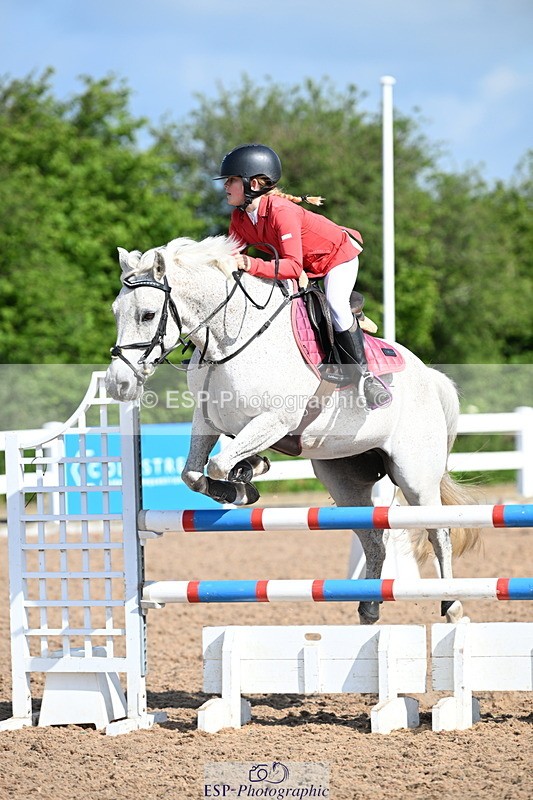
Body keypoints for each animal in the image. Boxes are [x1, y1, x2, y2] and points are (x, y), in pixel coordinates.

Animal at [105, 235, 479, 625]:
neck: (229, 341)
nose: (118, 384)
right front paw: (247, 475)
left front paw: (241, 485)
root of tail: (430, 377)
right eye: (116, 311)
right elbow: (194, 473)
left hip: (415, 476)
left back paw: (452, 607)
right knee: (375, 540)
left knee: (438, 533)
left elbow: (219, 464)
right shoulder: (207, 420)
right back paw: (369, 608)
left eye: (147, 315)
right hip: (345, 480)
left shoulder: (276, 420)